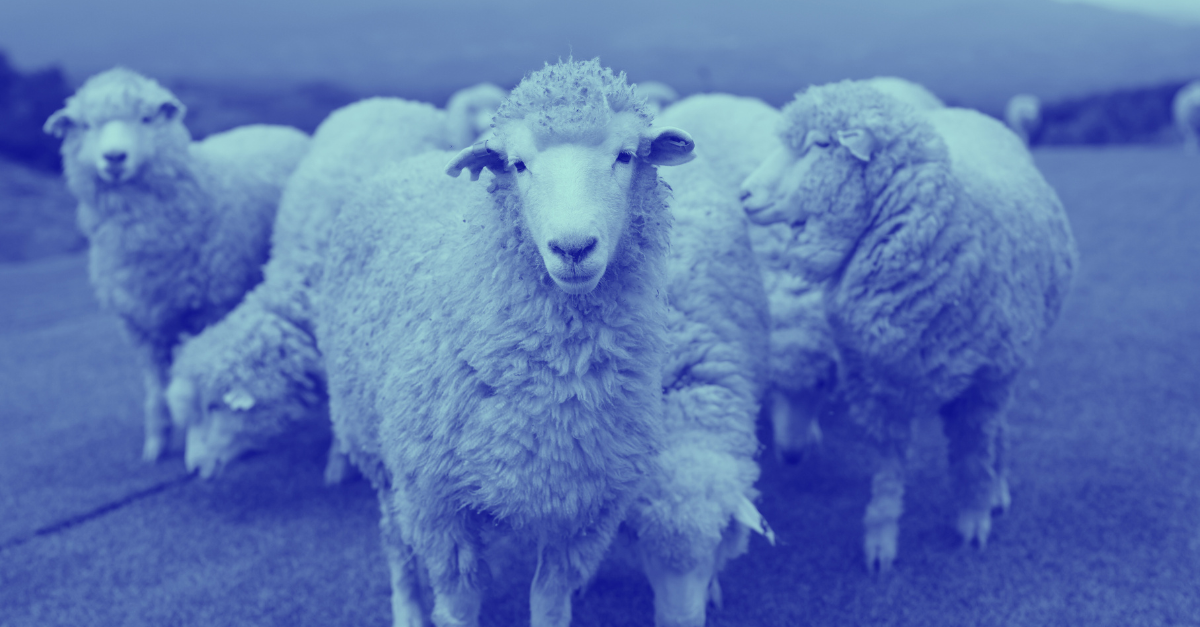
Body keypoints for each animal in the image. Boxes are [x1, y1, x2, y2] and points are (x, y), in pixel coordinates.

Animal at [43, 67, 309, 461]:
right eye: (86, 125)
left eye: (146, 118)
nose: (114, 157)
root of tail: (275, 126)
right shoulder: (140, 325)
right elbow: (156, 388)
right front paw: (155, 444)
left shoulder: (212, 307)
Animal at [317, 58, 698, 627]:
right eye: (518, 165)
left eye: (626, 155)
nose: (573, 248)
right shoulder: (438, 507)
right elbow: (457, 607)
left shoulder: (583, 512)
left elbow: (550, 602)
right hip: (376, 449)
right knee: (395, 543)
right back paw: (407, 608)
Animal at [739, 79, 1077, 572]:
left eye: (821, 145)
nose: (743, 194)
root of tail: (971, 113)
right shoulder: (879, 387)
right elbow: (888, 469)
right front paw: (880, 540)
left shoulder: (983, 382)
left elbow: (974, 454)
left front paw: (974, 518)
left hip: (1008, 363)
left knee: (998, 431)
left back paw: (997, 487)